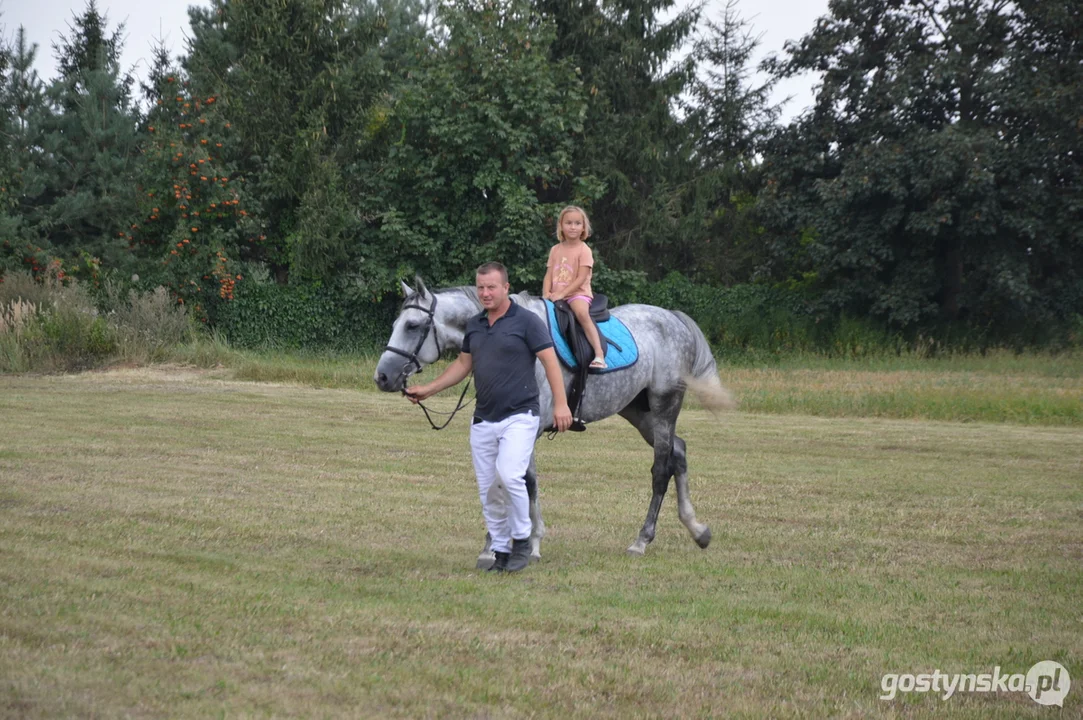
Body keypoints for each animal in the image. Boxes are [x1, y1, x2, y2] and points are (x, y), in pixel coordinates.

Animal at [374, 277, 736, 563]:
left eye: (412, 326)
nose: (382, 376)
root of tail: (673, 318)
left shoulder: (528, 427)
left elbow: (524, 481)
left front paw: (531, 543)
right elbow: (500, 479)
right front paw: (493, 546)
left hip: (663, 409)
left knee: (661, 470)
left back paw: (642, 540)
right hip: (639, 412)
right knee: (679, 452)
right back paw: (697, 529)